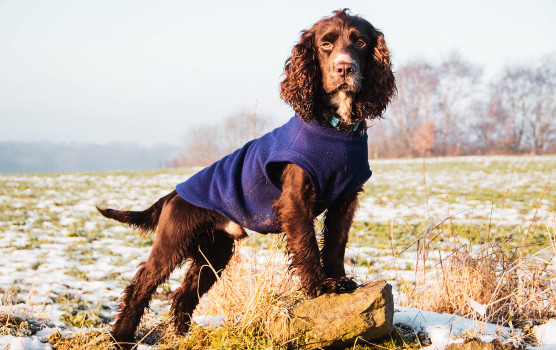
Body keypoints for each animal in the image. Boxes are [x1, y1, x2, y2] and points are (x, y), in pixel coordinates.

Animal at [96, 8, 396, 348]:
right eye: (326, 45)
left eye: (359, 42)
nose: (344, 68)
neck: (335, 125)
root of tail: (174, 194)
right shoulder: (295, 200)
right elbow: (307, 244)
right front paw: (319, 287)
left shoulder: (345, 198)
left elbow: (335, 242)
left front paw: (340, 280)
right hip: (173, 240)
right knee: (142, 284)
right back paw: (121, 337)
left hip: (213, 253)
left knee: (184, 293)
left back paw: (185, 335)